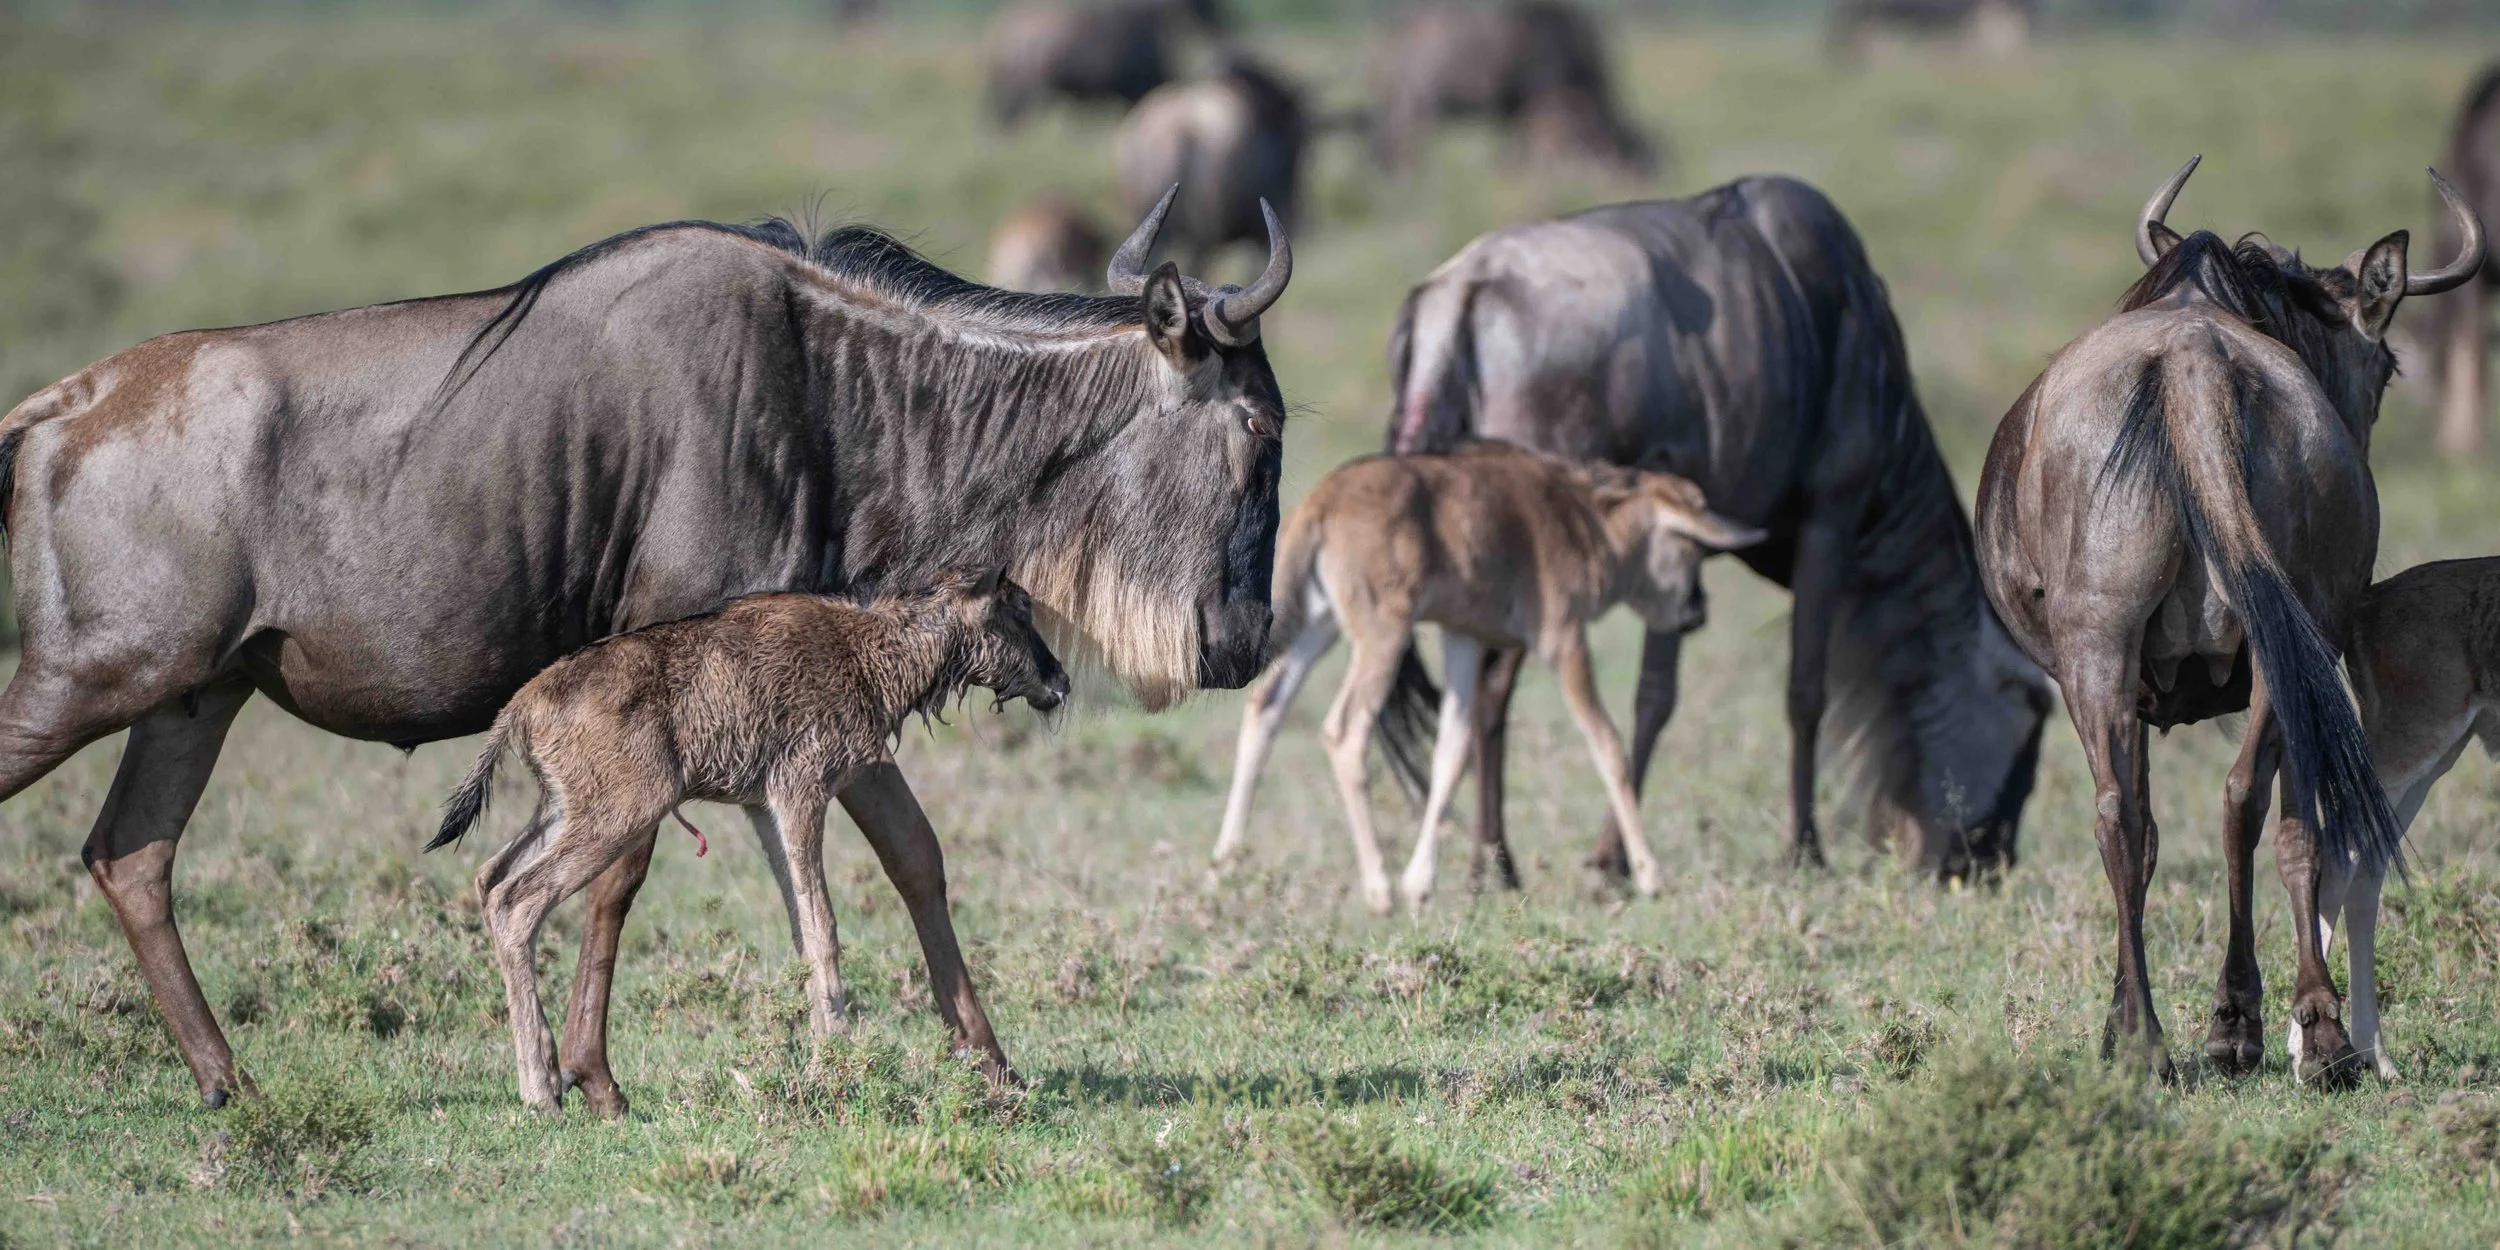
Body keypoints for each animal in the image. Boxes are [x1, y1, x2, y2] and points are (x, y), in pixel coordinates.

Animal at [427, 570, 1066, 1116]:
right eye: (1019, 608)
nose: (1059, 680)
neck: (871, 651)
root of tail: (523, 705)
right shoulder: (802, 790)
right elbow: (824, 925)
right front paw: (836, 1065)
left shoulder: (765, 807)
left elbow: (802, 927)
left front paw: (824, 1058)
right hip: (618, 816)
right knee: (517, 899)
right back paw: (541, 1093)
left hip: (564, 810)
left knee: (489, 876)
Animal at [1209, 441, 1763, 915]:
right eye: (1693, 546)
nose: (1697, 611)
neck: (1587, 517)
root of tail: (1324, 500)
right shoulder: (1564, 640)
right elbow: (1606, 743)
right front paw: (1650, 875)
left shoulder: (1463, 639)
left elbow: (1452, 754)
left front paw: (1422, 883)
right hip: (1382, 632)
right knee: (1345, 732)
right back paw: (1377, 888)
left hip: (1313, 624)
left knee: (1265, 707)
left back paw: (1223, 869)